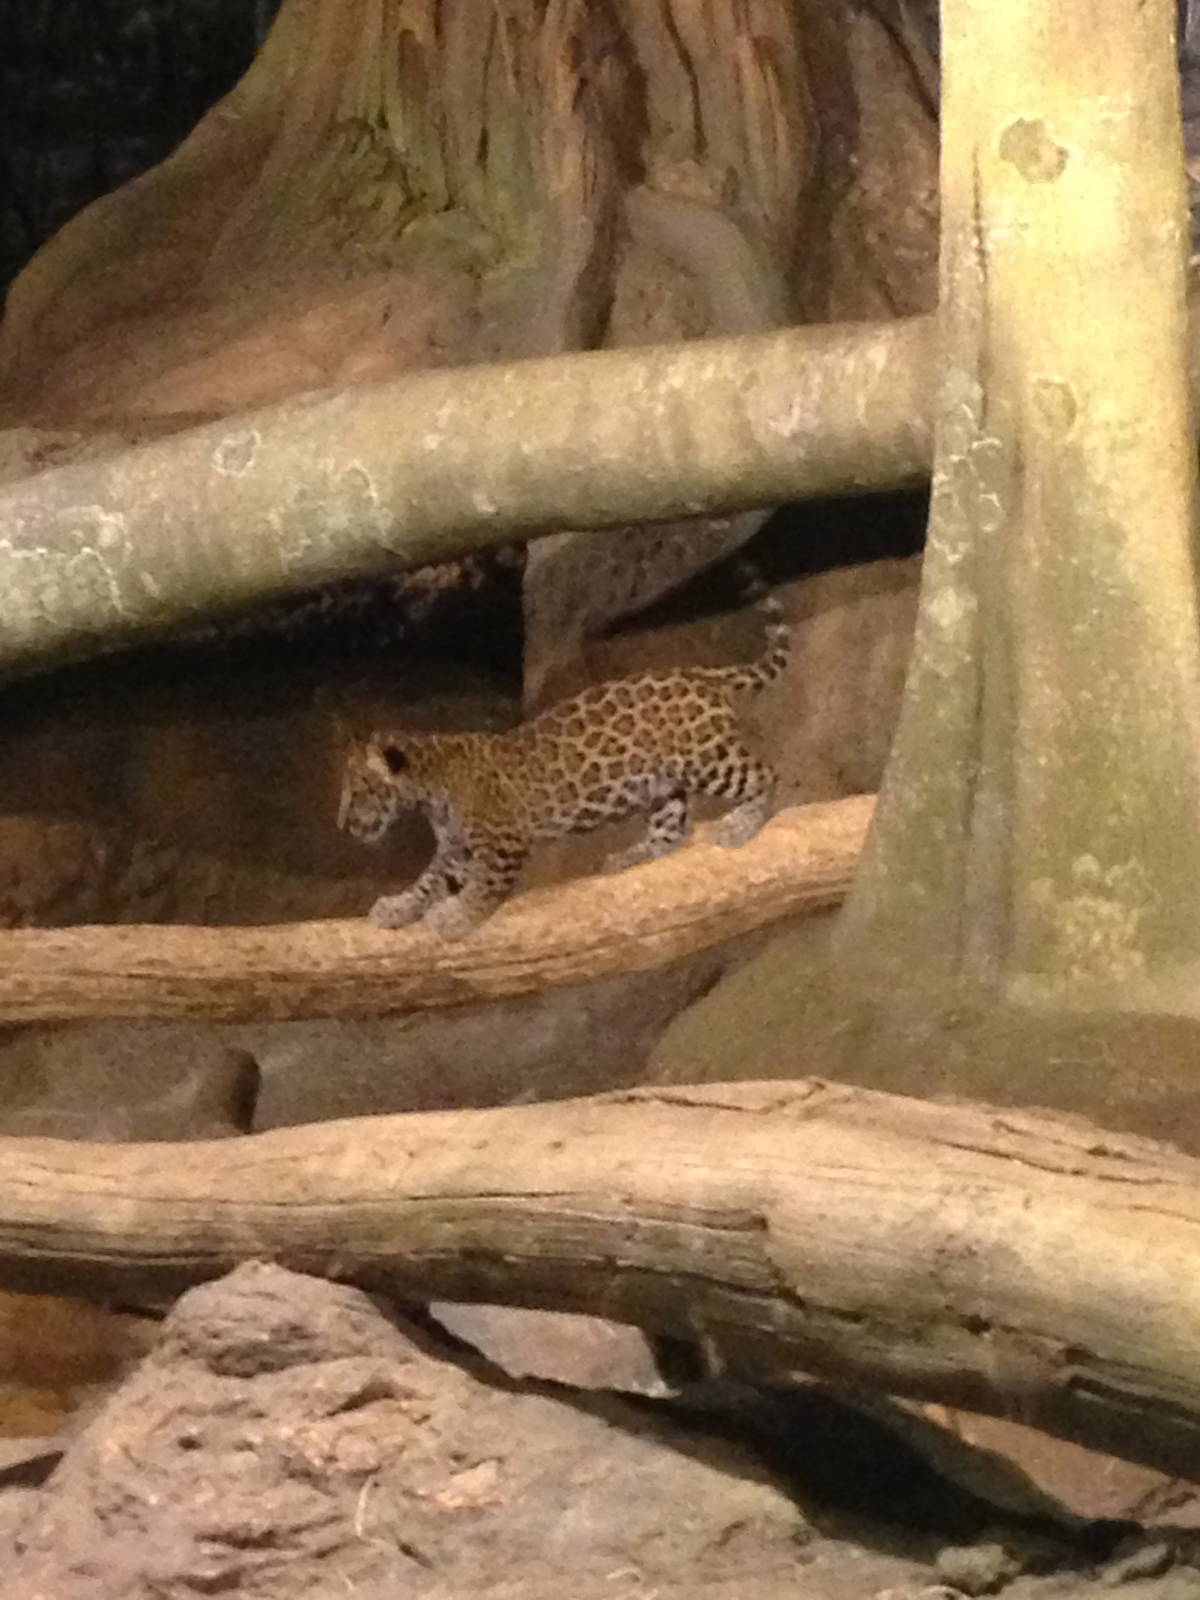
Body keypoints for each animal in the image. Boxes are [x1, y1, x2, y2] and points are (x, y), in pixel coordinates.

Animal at [337, 563, 789, 939]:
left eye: (358, 791)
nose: (342, 826)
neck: (430, 783)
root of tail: (701, 674)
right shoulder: (456, 846)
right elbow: (428, 881)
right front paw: (397, 907)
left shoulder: (501, 841)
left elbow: (482, 887)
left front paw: (456, 917)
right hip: (660, 782)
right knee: (675, 828)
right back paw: (632, 855)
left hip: (705, 756)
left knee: (766, 774)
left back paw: (741, 823)